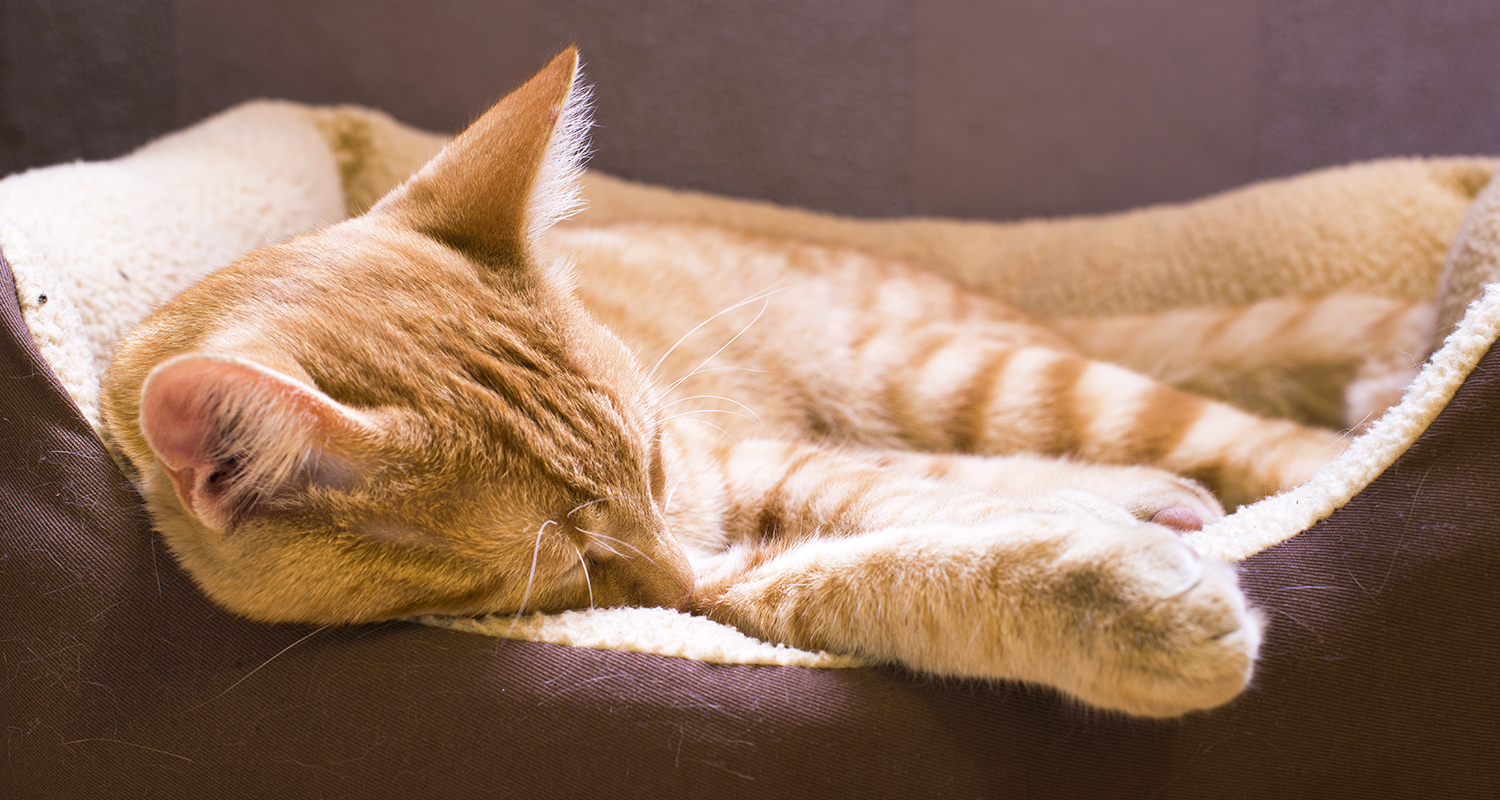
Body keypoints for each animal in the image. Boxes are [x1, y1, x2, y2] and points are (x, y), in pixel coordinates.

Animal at [105, 48, 1374, 717]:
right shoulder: (740, 577)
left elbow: (903, 506)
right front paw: (1120, 587)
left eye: (658, 463)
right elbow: (884, 563)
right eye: (572, 564)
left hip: (976, 374)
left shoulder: (747, 471)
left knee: (1260, 440)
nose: (673, 575)